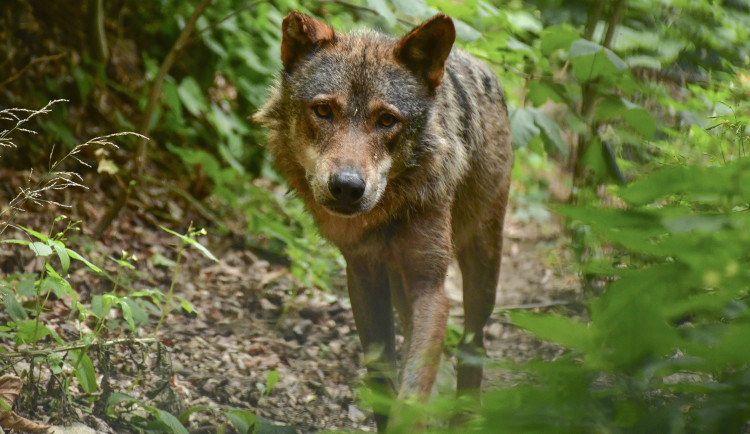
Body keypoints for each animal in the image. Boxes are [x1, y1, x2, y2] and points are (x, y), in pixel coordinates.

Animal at [256, 10, 516, 430]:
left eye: (386, 120)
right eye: (323, 111)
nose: (347, 187)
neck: (388, 212)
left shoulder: (431, 288)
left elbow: (411, 393)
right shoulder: (364, 277)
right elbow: (382, 377)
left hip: (482, 262)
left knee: (473, 341)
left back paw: (464, 414)